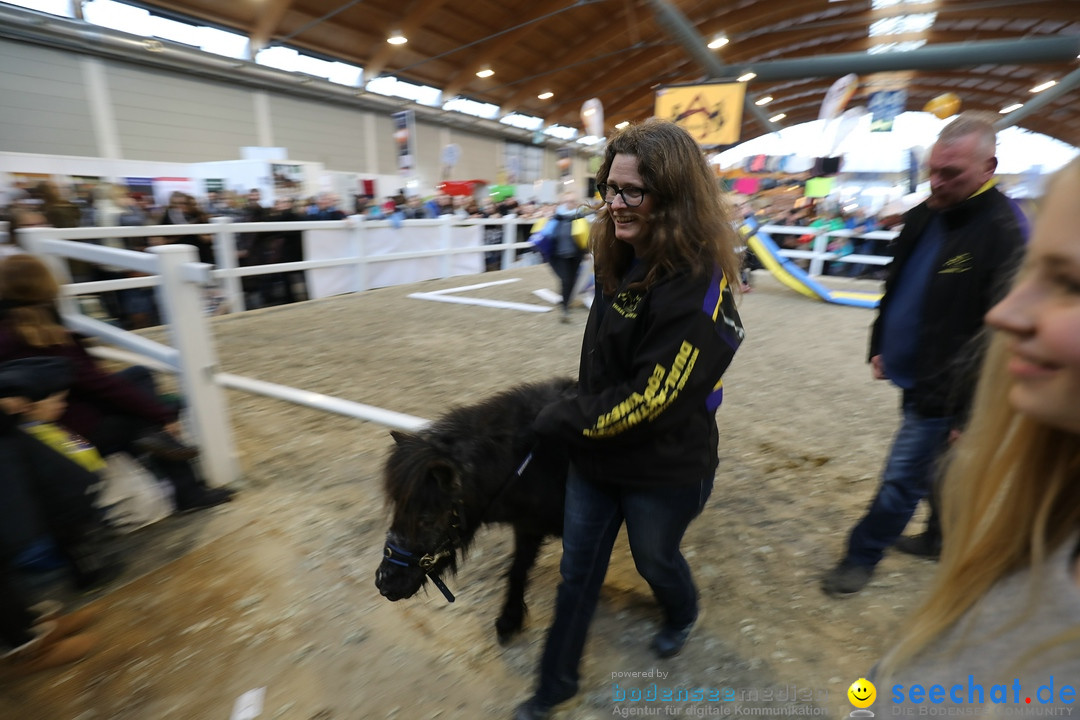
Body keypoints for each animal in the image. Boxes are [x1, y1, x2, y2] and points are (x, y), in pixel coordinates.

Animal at [375, 377, 574, 643]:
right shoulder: (527, 527)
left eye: (427, 519)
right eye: (397, 508)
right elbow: (517, 570)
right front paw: (509, 620)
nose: (384, 581)